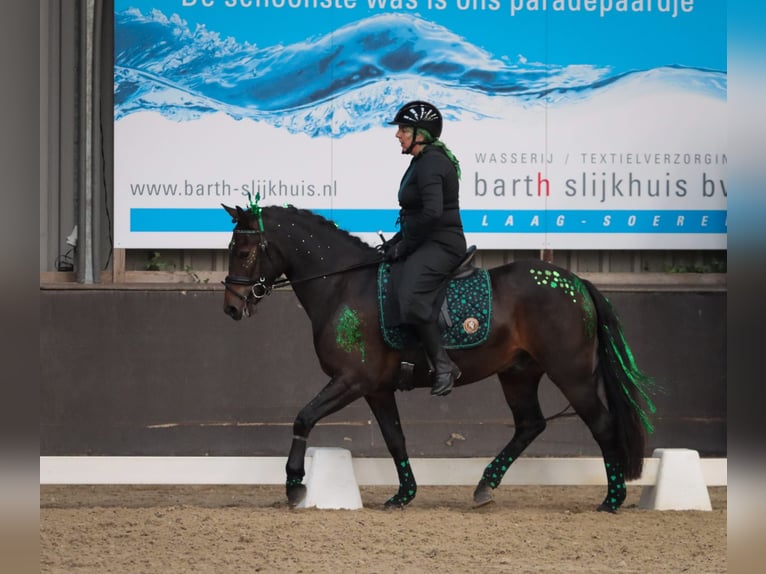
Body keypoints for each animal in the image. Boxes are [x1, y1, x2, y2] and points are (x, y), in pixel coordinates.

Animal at [220, 205, 656, 516]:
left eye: (243, 251)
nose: (231, 308)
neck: (344, 284)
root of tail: (575, 281)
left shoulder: (351, 380)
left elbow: (303, 418)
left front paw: (295, 485)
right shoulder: (376, 389)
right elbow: (395, 438)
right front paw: (403, 495)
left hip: (571, 373)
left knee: (601, 424)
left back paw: (612, 500)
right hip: (518, 373)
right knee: (530, 425)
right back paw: (484, 487)